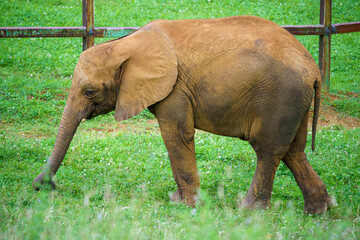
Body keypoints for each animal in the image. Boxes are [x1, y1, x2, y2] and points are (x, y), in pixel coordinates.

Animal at [33, 15, 332, 214]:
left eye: (89, 92)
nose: (41, 186)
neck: (125, 43)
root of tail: (313, 68)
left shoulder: (175, 89)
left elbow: (176, 135)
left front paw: (187, 206)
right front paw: (176, 200)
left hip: (280, 97)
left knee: (267, 149)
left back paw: (247, 211)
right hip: (293, 101)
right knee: (293, 151)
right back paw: (319, 211)